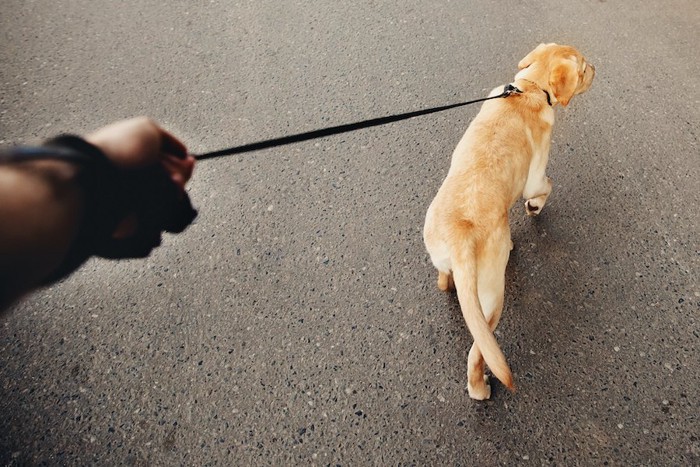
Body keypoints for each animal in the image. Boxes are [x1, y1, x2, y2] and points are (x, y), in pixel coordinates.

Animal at [424, 44, 592, 400]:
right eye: (585, 70)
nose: (598, 69)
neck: (529, 87)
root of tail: (460, 238)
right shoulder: (536, 172)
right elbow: (545, 186)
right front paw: (535, 206)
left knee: (444, 280)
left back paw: (447, 282)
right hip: (491, 298)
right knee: (479, 351)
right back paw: (480, 388)